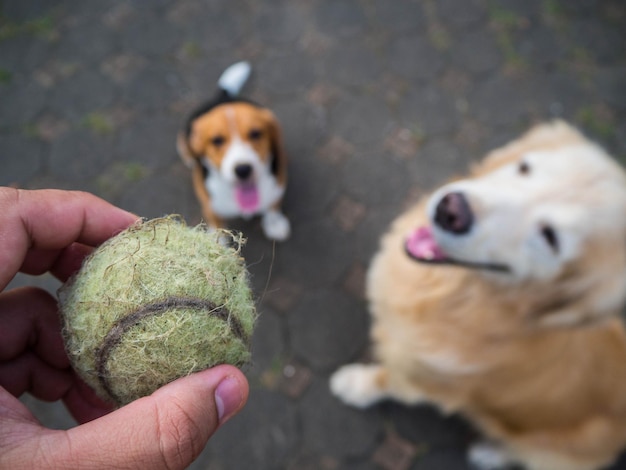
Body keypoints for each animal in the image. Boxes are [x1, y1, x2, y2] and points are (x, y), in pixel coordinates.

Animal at [176, 61, 290, 241]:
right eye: (216, 140)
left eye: (256, 133)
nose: (243, 170)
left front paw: (275, 224)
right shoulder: (211, 208)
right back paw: (189, 157)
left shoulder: (276, 189)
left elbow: (272, 207)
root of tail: (223, 97)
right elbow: (217, 228)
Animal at [330, 122, 624, 470]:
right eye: (524, 167)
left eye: (550, 237)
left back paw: (490, 453)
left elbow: (385, 380)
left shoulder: (422, 380)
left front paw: (355, 386)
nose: (451, 210)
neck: (461, 294)